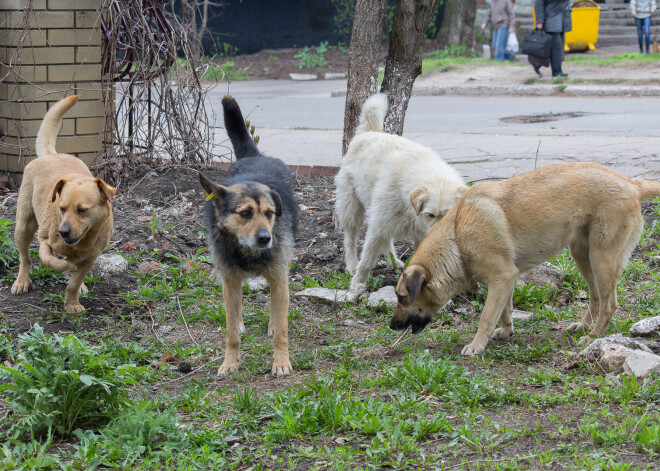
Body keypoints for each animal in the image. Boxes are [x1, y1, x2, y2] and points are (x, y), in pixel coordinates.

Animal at [11, 95, 116, 314]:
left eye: (82, 210)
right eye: (61, 208)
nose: (63, 232)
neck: (81, 242)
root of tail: (51, 154)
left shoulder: (91, 257)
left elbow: (74, 283)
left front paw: (72, 303)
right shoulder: (44, 240)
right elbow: (50, 260)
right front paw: (66, 268)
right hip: (24, 226)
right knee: (25, 257)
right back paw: (22, 281)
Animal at [199, 95, 296, 376]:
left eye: (270, 213)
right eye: (245, 213)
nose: (266, 238)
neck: (248, 252)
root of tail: (255, 156)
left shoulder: (279, 277)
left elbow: (282, 329)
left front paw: (281, 362)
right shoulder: (230, 280)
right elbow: (230, 331)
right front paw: (230, 362)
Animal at [332, 93, 466, 298]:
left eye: (449, 215)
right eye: (431, 215)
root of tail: (367, 132)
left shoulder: (418, 233)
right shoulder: (377, 225)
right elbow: (367, 260)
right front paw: (357, 285)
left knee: (386, 239)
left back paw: (393, 262)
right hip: (352, 207)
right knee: (350, 238)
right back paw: (352, 265)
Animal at [392, 164, 660, 356]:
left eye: (402, 298)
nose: (392, 326)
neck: (457, 237)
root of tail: (632, 184)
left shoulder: (501, 278)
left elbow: (486, 317)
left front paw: (477, 346)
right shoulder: (506, 281)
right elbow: (505, 310)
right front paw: (506, 331)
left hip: (602, 259)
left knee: (609, 304)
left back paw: (593, 336)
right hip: (584, 257)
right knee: (595, 298)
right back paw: (584, 327)